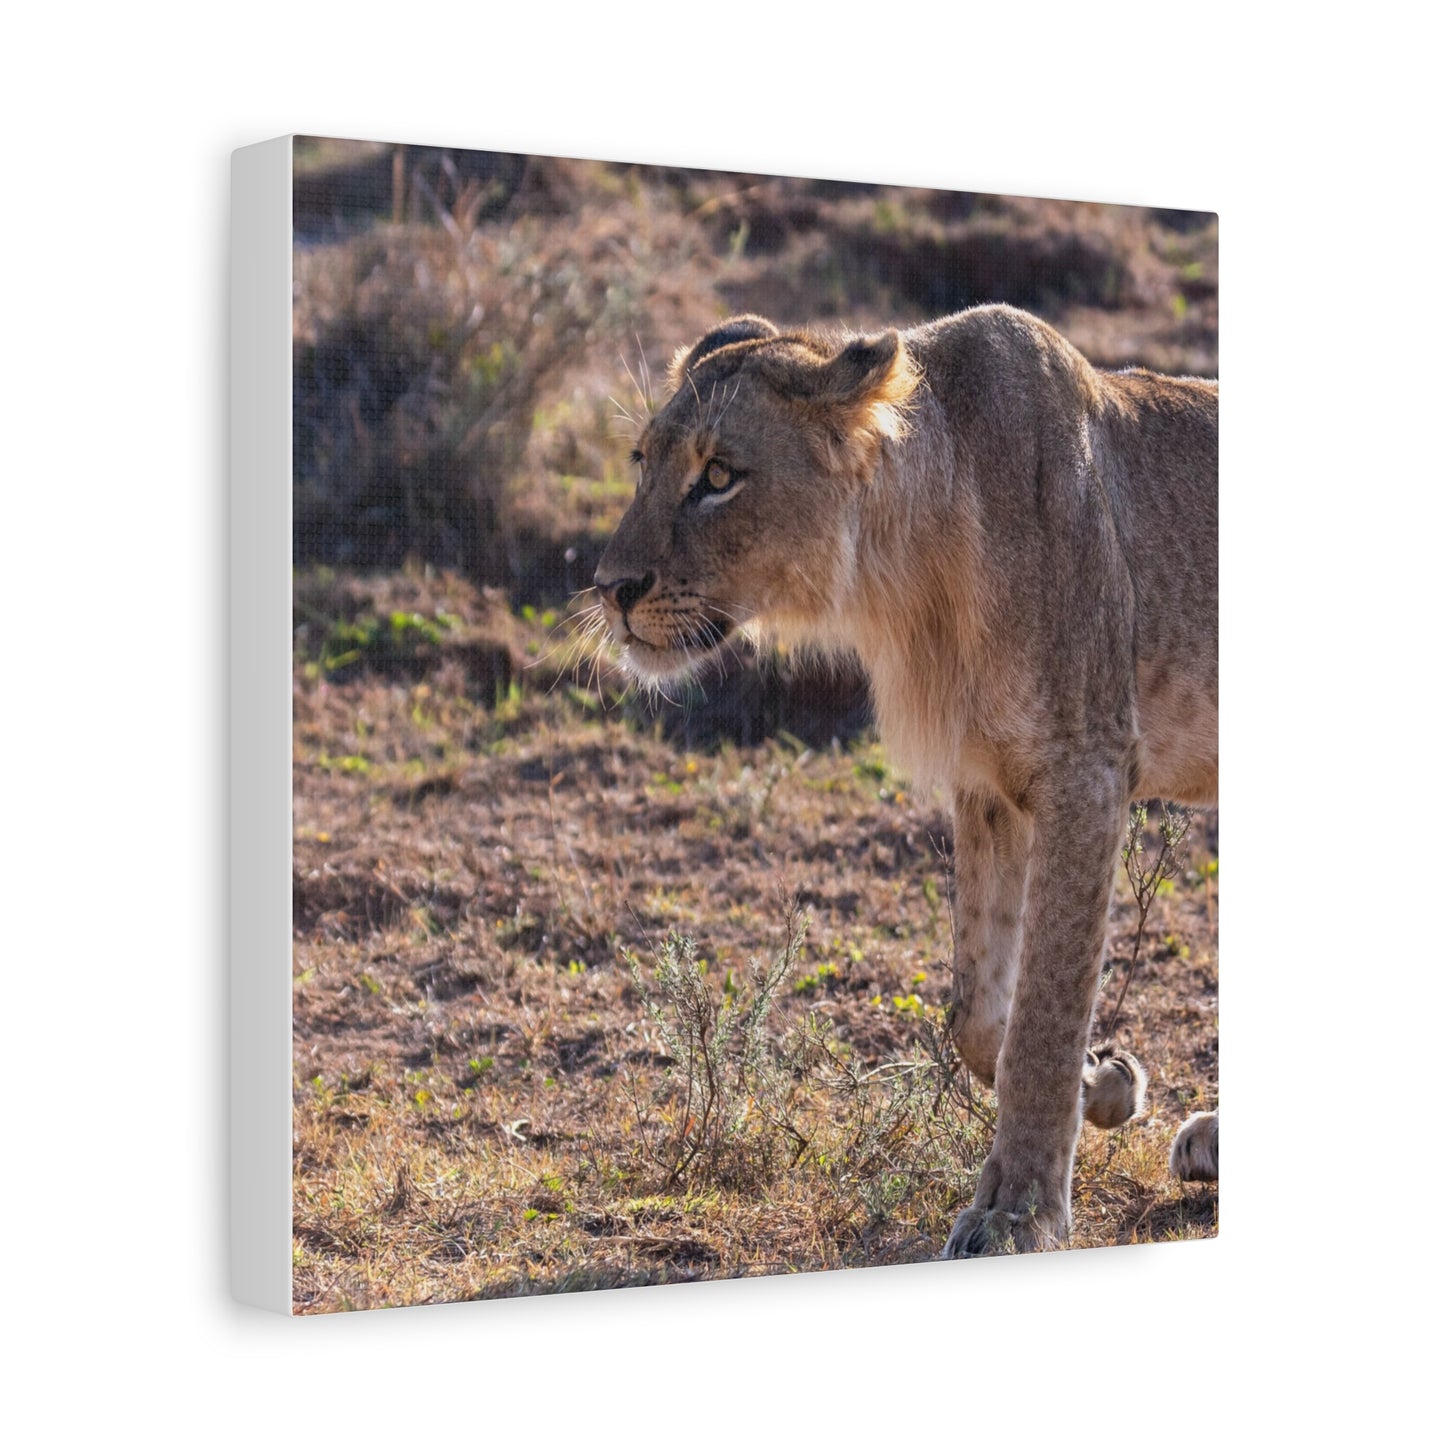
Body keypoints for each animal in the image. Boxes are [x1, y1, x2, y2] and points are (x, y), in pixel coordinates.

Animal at [594, 305, 1218, 1255]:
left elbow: (1043, 1010)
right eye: (642, 463)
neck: (908, 577)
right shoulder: (989, 784)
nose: (610, 588)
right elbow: (980, 1015)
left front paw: (1016, 1212)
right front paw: (1104, 1082)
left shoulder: (1087, 765)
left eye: (719, 475)